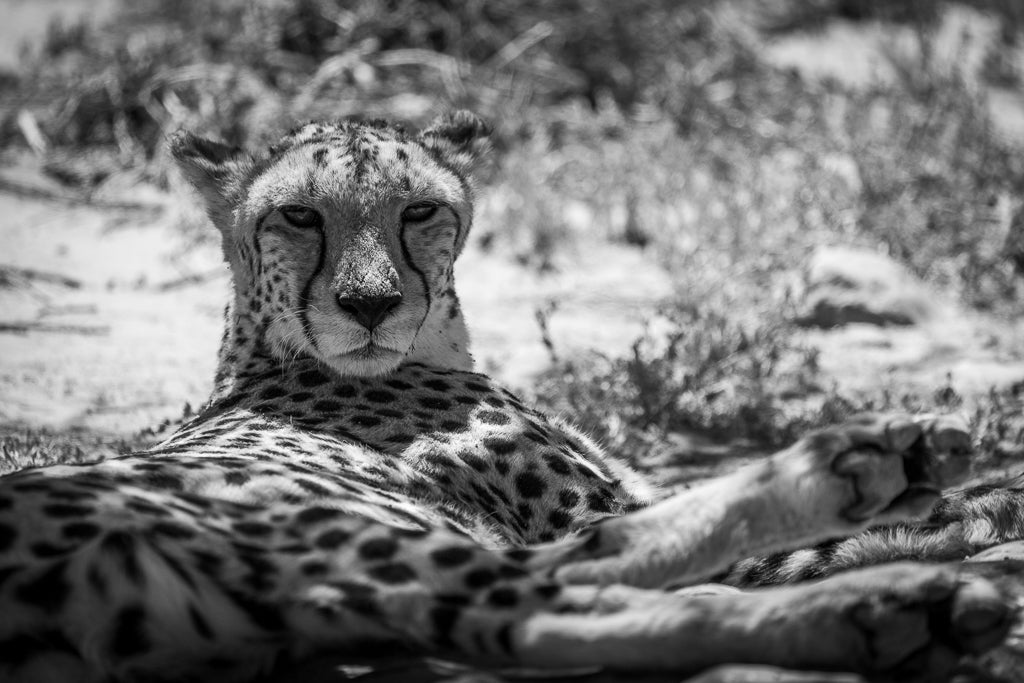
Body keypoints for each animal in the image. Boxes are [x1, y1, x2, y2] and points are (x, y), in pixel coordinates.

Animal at [0, 112, 1019, 683]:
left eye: (419, 210)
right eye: (297, 215)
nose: (368, 304)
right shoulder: (579, 501)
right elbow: (784, 544)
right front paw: (969, 499)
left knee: (557, 610)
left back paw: (885, 605)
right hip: (341, 531)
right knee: (582, 576)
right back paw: (868, 501)